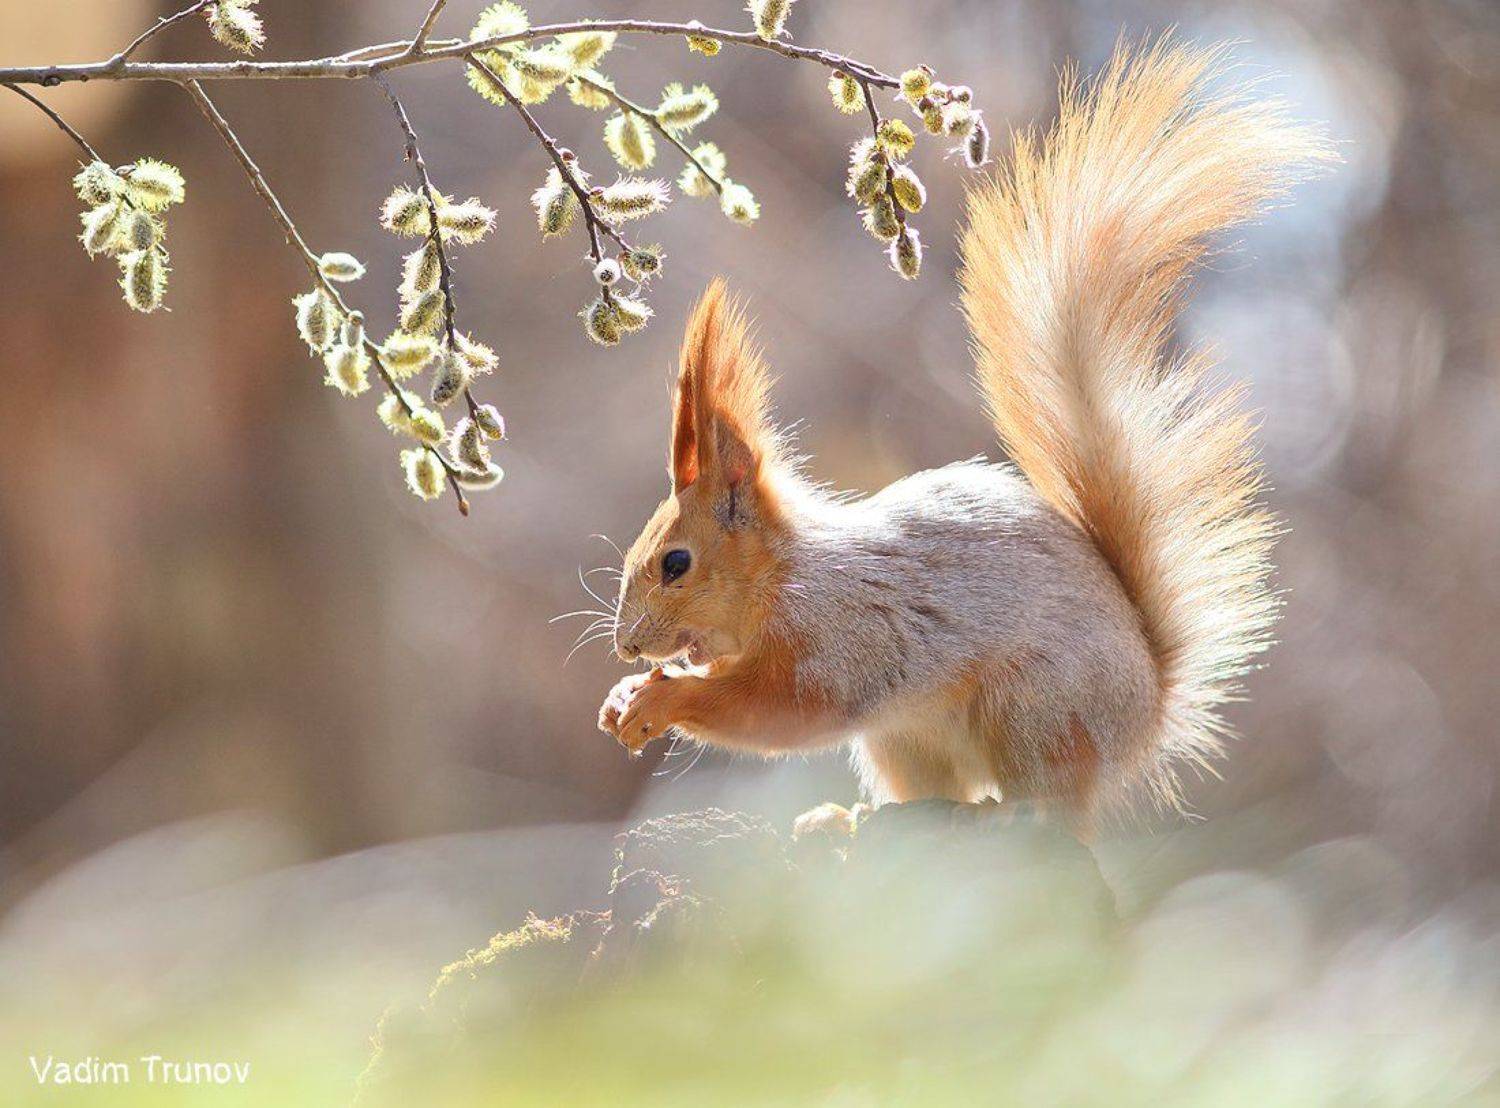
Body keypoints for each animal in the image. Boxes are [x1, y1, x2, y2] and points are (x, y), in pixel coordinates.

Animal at [597, 39, 1330, 831]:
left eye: (676, 563)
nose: (628, 646)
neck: (787, 575)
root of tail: (1144, 717)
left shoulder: (848, 637)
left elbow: (787, 709)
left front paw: (664, 697)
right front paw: (623, 698)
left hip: (1030, 708)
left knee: (1050, 807)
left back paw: (1002, 812)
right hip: (905, 741)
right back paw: (844, 819)